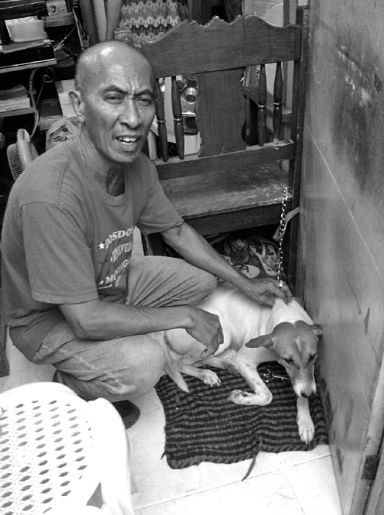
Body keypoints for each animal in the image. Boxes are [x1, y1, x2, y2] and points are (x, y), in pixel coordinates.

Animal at [161, 284, 320, 446]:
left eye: (313, 357)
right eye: (288, 360)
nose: (309, 394)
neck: (287, 314)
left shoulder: (308, 376)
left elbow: (304, 386)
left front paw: (306, 421)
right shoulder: (245, 360)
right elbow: (267, 396)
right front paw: (240, 397)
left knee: (203, 359)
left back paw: (227, 365)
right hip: (222, 337)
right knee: (181, 363)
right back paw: (206, 373)